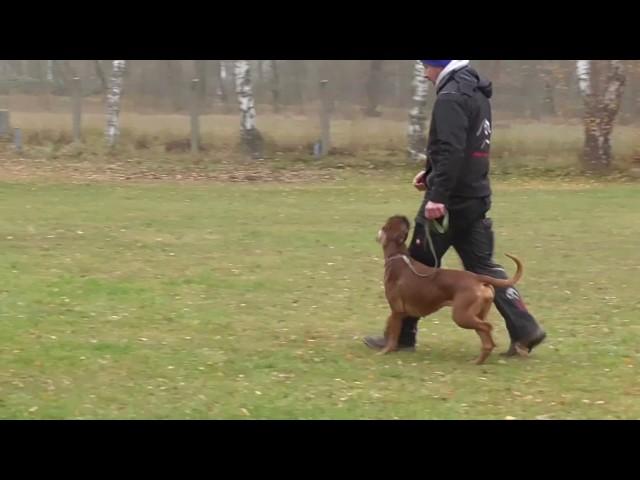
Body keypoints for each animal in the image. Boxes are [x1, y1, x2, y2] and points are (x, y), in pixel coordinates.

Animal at [378, 215, 524, 364]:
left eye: (385, 226)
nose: (403, 217)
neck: (398, 256)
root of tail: (478, 278)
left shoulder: (396, 311)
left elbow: (392, 333)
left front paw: (385, 351)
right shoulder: (399, 312)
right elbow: (389, 325)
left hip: (462, 316)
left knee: (487, 328)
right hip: (475, 315)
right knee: (485, 337)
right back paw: (478, 361)